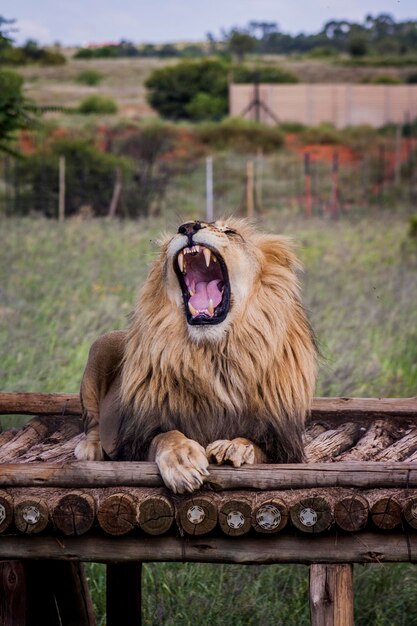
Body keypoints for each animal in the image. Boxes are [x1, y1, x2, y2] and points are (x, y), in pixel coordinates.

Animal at [75, 217, 316, 490]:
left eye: (230, 232)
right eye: (179, 230)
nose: (189, 227)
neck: (213, 356)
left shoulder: (281, 445)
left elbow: (254, 445)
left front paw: (233, 448)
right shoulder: (134, 442)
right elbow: (166, 435)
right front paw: (183, 461)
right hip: (99, 347)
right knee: (92, 423)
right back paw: (89, 449)